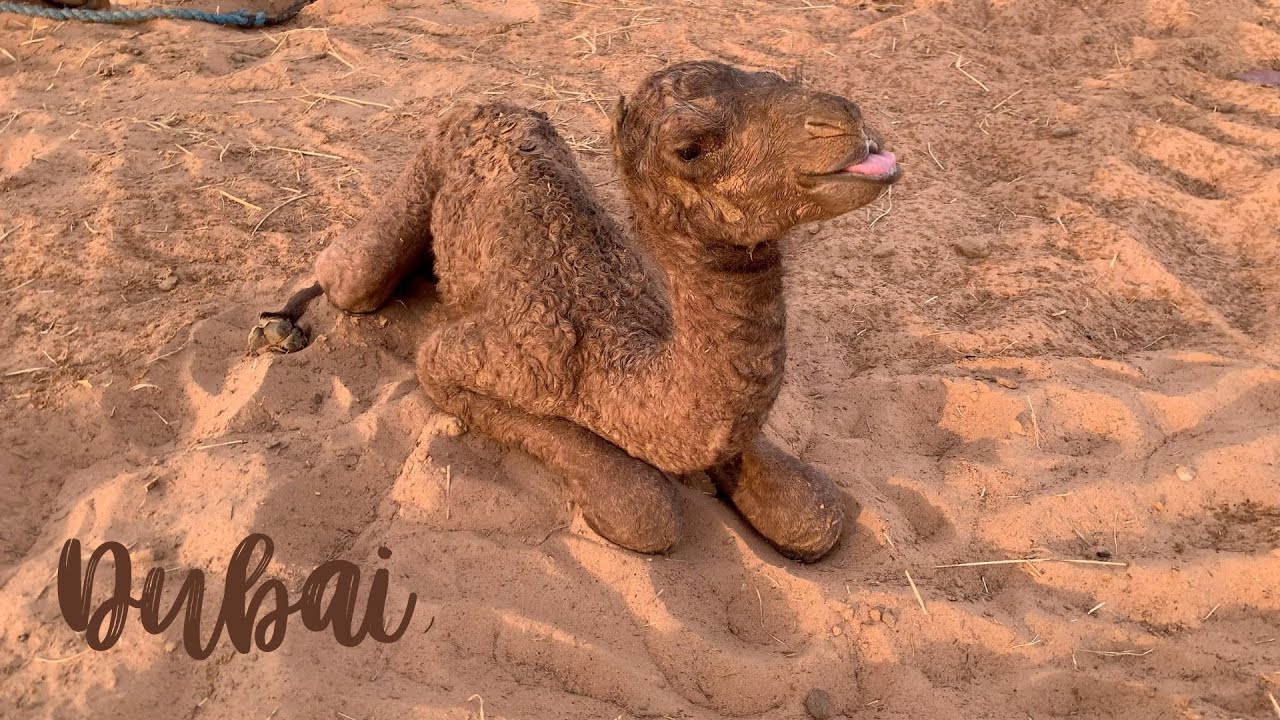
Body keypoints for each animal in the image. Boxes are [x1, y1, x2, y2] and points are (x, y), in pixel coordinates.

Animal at [257, 61, 901, 561]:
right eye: (689, 149)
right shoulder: (469, 362)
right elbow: (642, 507)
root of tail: (488, 106)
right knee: (349, 277)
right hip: (419, 176)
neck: (614, 360)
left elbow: (814, 511)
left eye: (782, 77)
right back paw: (282, 326)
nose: (846, 121)